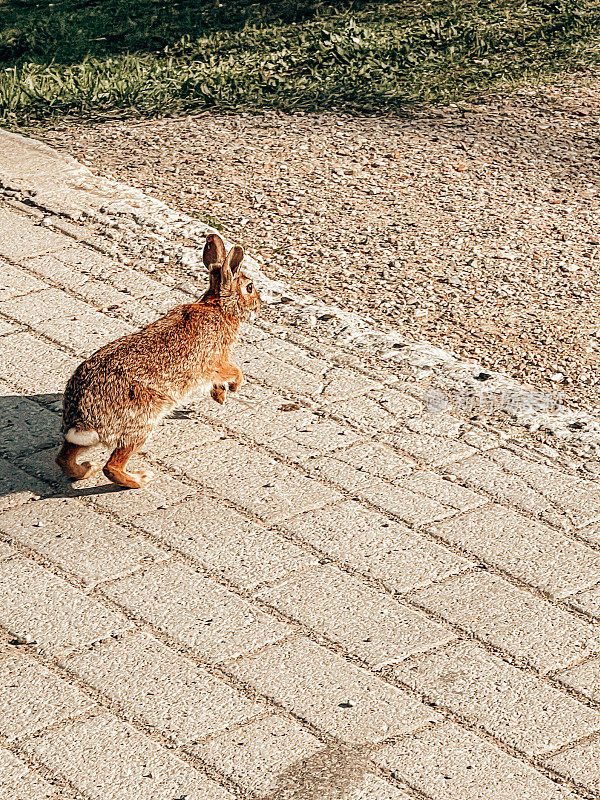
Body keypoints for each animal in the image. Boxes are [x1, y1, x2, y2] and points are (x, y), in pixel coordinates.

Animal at [56, 233, 260, 488]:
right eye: (249, 287)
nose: (259, 305)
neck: (219, 307)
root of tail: (83, 420)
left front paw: (220, 395)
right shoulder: (217, 361)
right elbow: (235, 371)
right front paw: (233, 388)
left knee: (64, 458)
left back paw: (86, 469)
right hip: (142, 423)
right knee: (111, 467)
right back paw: (141, 479)